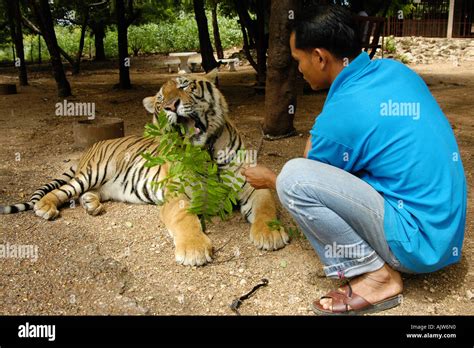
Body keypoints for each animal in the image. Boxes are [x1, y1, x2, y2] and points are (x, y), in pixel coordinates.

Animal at [0, 70, 288, 266]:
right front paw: (194, 249)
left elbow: (265, 208)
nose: (171, 106)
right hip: (91, 173)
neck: (205, 150)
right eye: (161, 100)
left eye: (185, 85)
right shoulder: (177, 194)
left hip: (104, 185)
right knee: (62, 191)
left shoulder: (250, 184)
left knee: (87, 193)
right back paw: (45, 207)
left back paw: (92, 206)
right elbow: (185, 219)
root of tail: (93, 144)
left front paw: (271, 234)